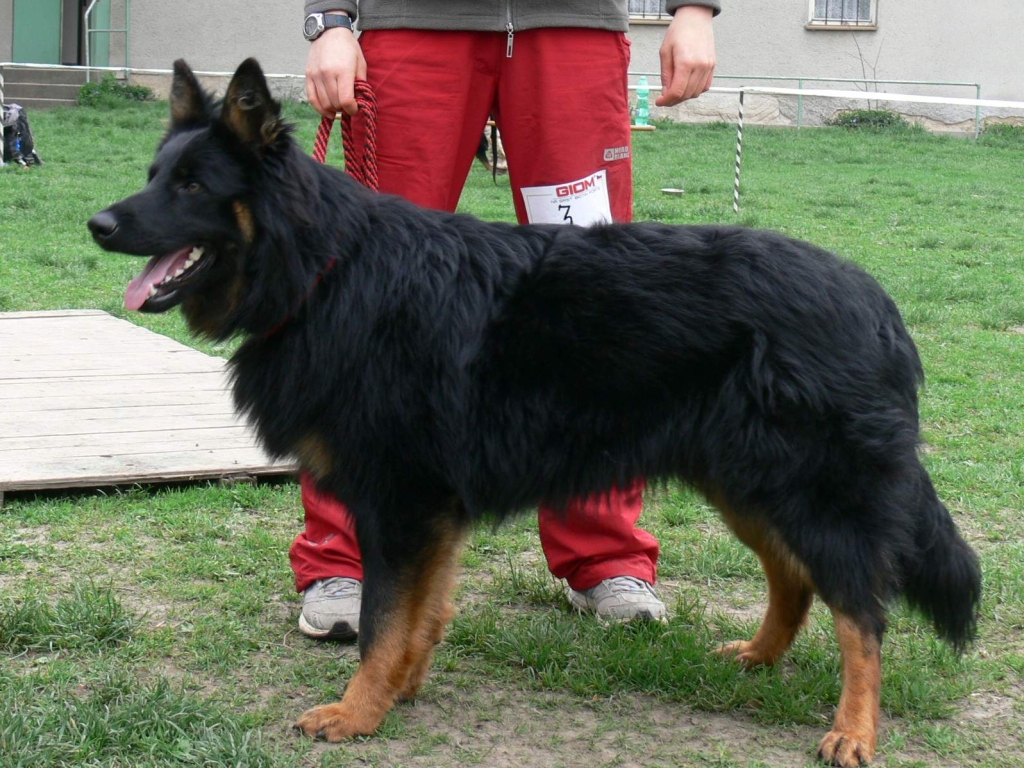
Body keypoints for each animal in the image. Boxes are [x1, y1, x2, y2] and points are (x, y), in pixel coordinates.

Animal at [88, 59, 981, 767]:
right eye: (153, 173)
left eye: (193, 186)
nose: (98, 222)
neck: (324, 269)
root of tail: (874, 301)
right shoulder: (429, 512)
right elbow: (419, 614)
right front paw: (400, 692)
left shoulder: (398, 503)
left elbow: (383, 619)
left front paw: (357, 711)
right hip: (746, 486)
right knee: (796, 580)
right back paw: (759, 657)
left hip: (808, 495)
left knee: (862, 616)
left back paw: (854, 731)